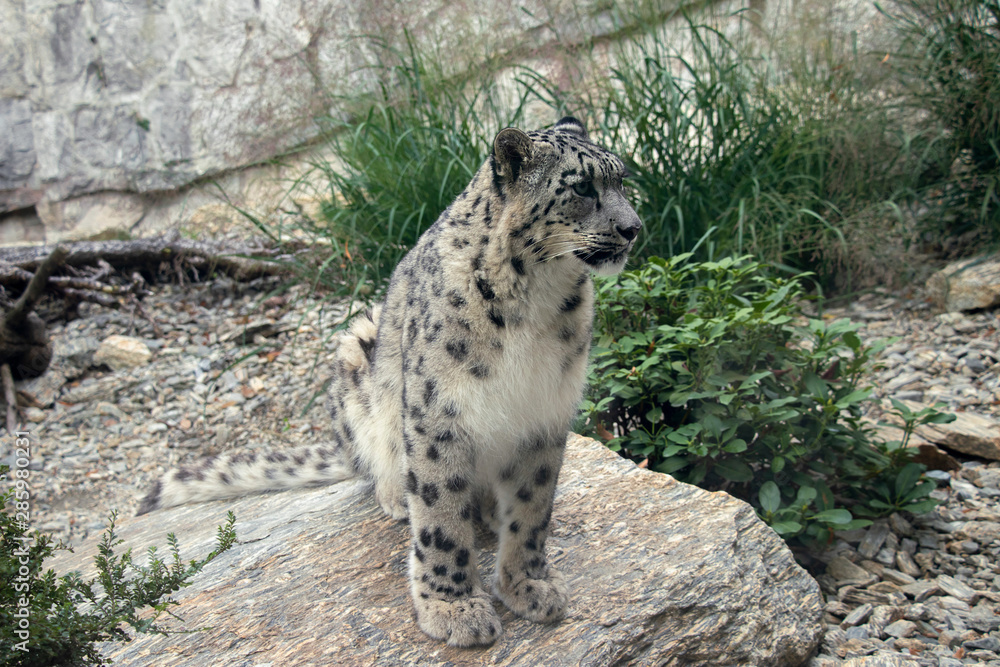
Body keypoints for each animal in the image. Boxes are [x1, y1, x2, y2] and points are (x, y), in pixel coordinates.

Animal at [137, 116, 641, 647]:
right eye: (582, 187)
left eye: (621, 179)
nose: (634, 228)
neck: (538, 297)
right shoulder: (441, 411)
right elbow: (441, 517)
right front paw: (453, 608)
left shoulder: (546, 410)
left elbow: (532, 509)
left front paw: (529, 585)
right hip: (358, 354)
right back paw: (399, 494)